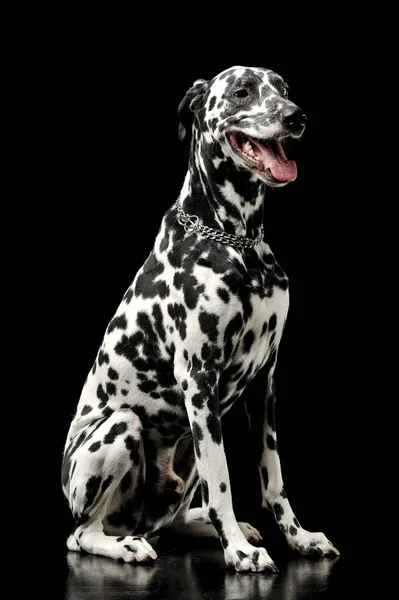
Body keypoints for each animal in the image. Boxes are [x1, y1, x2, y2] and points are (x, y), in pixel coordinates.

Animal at [62, 64, 340, 572]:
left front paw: (298, 538)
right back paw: (127, 546)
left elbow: (273, 479)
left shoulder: (265, 383)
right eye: (242, 91)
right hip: (122, 428)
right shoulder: (199, 378)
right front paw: (240, 551)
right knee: (82, 534)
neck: (238, 243)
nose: (296, 117)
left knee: (172, 519)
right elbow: (222, 482)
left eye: (284, 89)